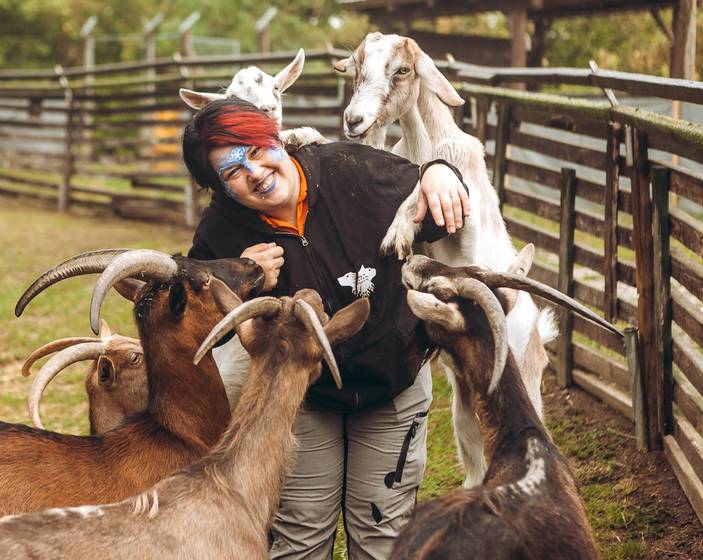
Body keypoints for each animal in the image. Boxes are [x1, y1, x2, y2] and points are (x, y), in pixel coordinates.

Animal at [336, 31, 560, 486]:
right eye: (358, 65)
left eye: (402, 70)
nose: (353, 120)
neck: (426, 144)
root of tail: (538, 332)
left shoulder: (466, 215)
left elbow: (425, 189)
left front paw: (397, 230)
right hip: (463, 399)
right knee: (472, 451)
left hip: (524, 374)